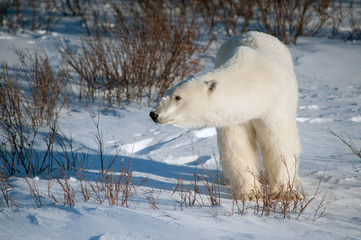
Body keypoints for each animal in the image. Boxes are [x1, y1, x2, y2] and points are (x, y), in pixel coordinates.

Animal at [148, 31, 300, 200]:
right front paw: (252, 194)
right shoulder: (235, 116)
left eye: (178, 97)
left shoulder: (275, 106)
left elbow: (279, 144)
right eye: (166, 93)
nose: (154, 114)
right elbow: (238, 147)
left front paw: (284, 193)